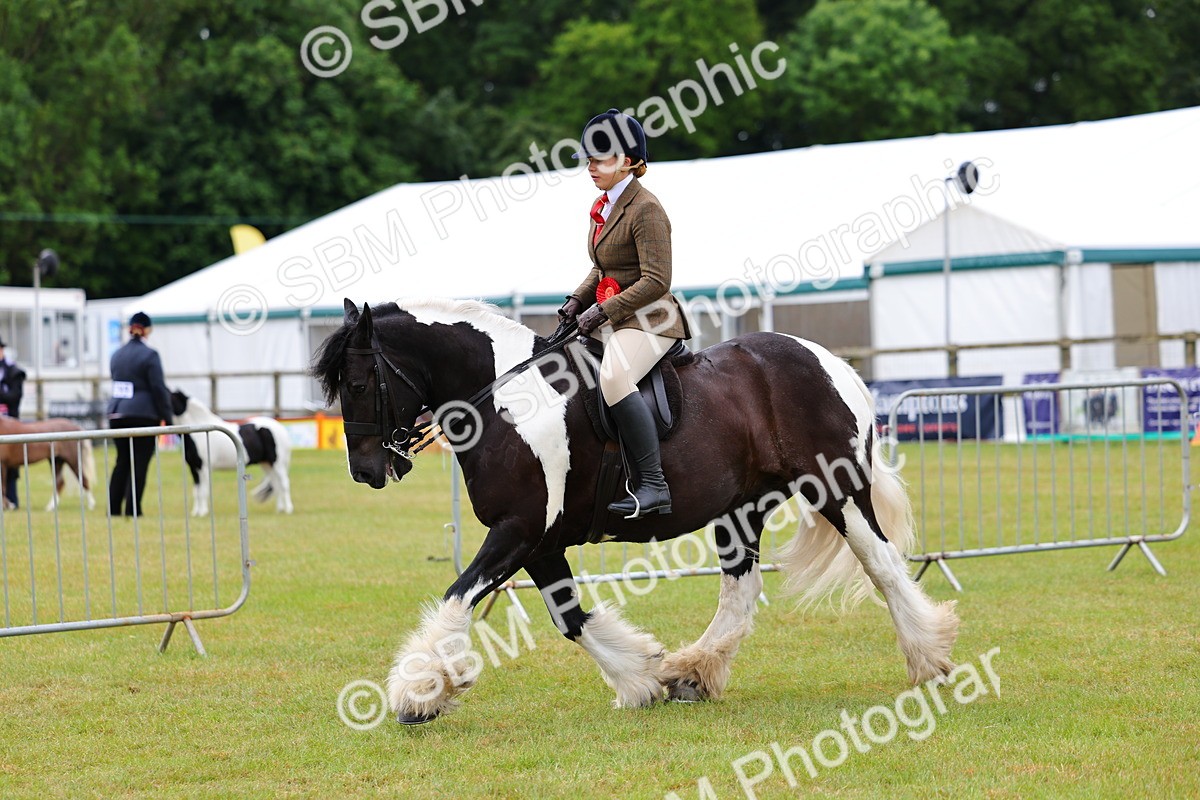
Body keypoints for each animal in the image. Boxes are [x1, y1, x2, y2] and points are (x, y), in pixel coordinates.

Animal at [314, 298, 959, 725]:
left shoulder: (518, 531)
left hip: (835, 488)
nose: (366, 471)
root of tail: (833, 363)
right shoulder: (540, 543)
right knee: (741, 589)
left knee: (882, 565)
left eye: (359, 381)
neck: (503, 398)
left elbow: (457, 595)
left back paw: (929, 659)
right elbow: (570, 618)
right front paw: (643, 679)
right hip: (743, 507)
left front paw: (419, 691)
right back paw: (691, 672)